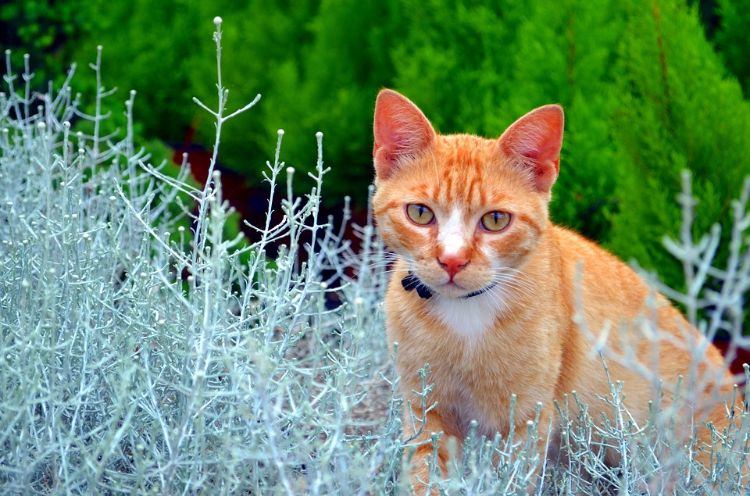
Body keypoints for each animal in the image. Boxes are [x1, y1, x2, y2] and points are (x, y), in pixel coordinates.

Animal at [374, 88, 736, 488]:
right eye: (420, 213)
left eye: (495, 220)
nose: (452, 260)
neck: (466, 320)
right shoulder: (425, 410)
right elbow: (426, 477)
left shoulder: (525, 420)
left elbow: (512, 481)